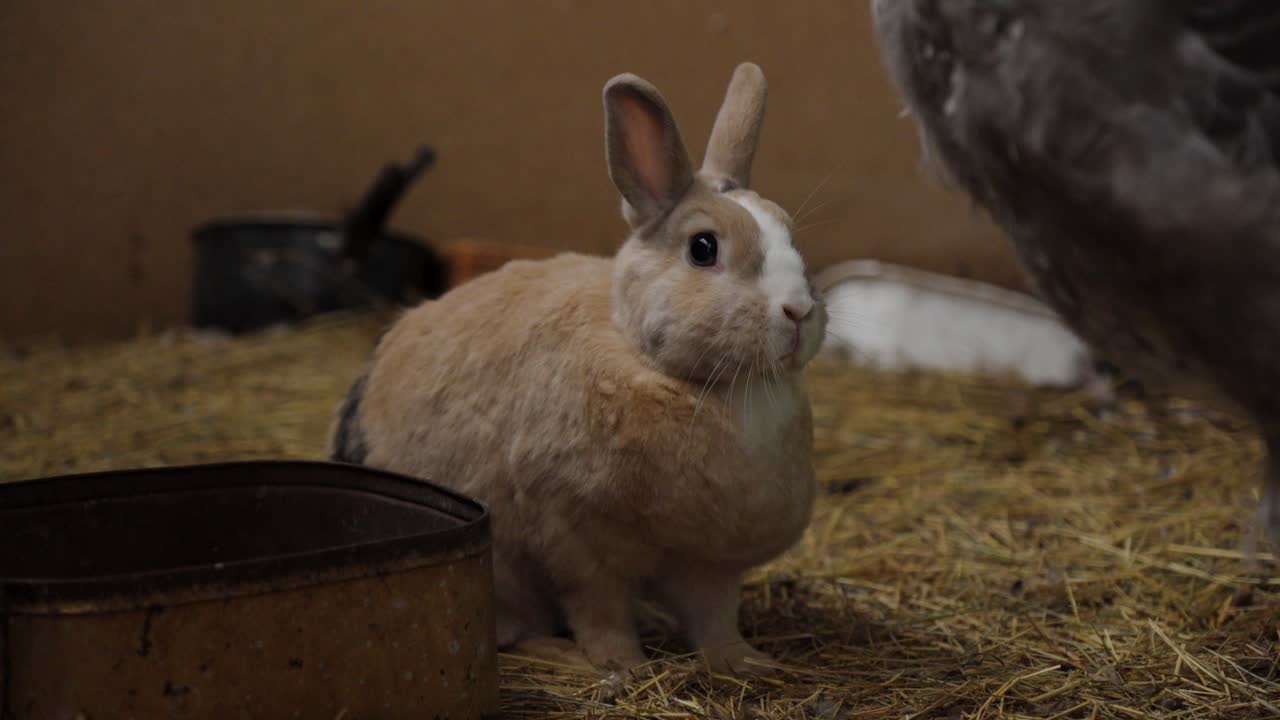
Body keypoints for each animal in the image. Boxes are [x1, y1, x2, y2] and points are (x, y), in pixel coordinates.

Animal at [327, 61, 828, 674]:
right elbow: (600, 611)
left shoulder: (709, 564)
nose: (798, 310)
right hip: (505, 574)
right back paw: (563, 654)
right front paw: (622, 667)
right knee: (516, 630)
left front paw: (748, 663)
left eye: (792, 237)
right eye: (703, 248)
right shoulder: (576, 541)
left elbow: (715, 620)